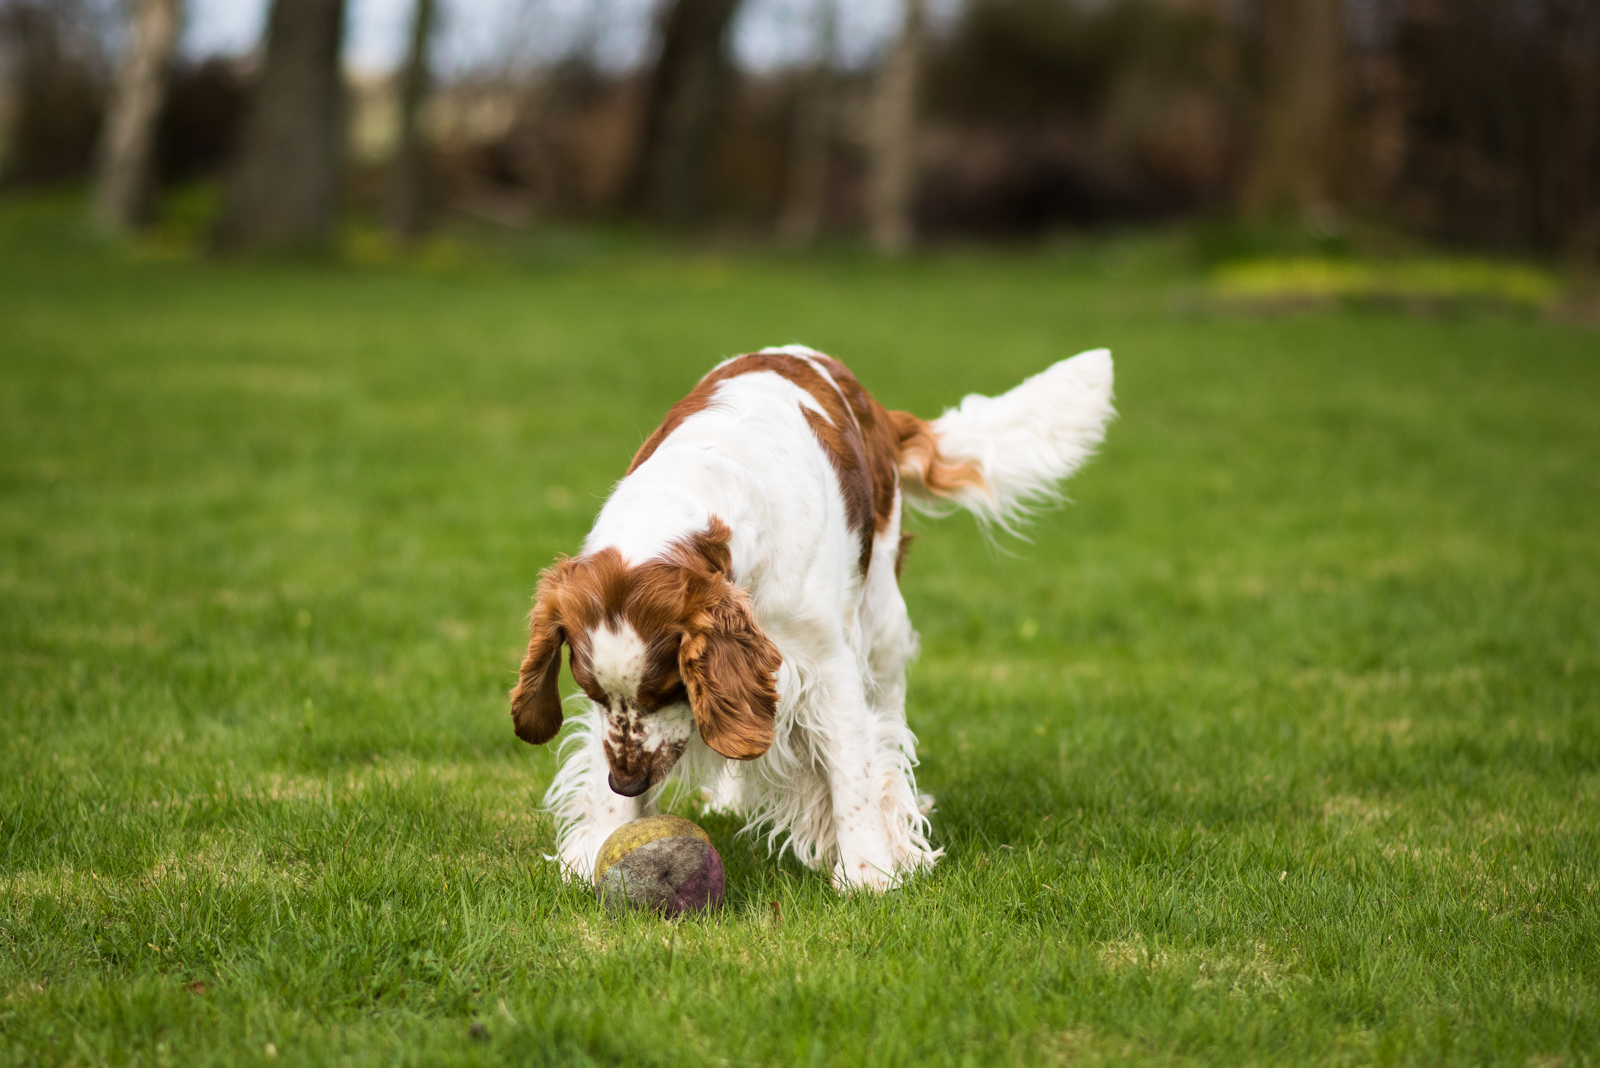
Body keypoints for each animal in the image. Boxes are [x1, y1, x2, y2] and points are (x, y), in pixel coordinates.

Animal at [512, 346, 1113, 888]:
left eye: (667, 690)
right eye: (591, 692)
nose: (629, 782)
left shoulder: (826, 666)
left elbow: (853, 776)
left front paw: (870, 875)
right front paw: (595, 851)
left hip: (884, 623)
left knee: (886, 733)